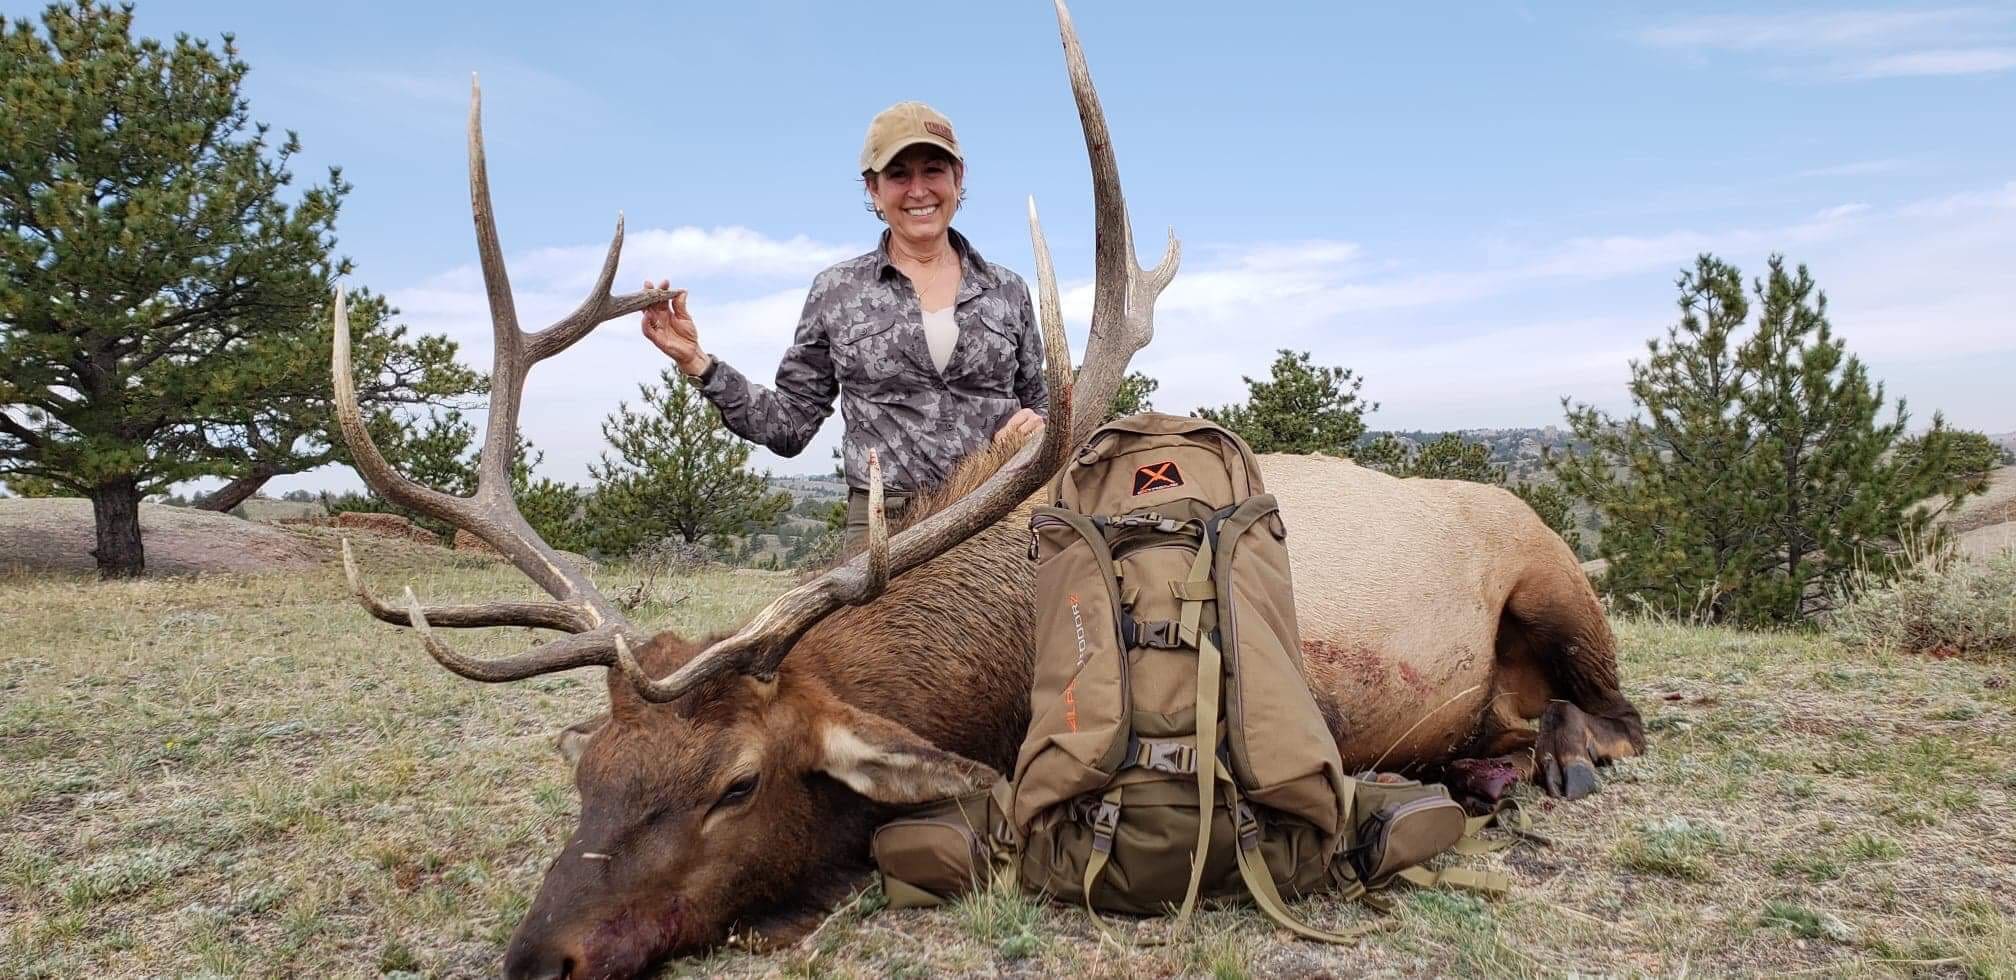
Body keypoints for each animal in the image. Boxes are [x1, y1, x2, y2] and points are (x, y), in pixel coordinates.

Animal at [338, 3, 1645, 975]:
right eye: (591, 771)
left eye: (736, 783)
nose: (536, 955)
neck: (998, 668)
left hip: (1555, 577)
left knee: (1619, 713)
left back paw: (1554, 756)